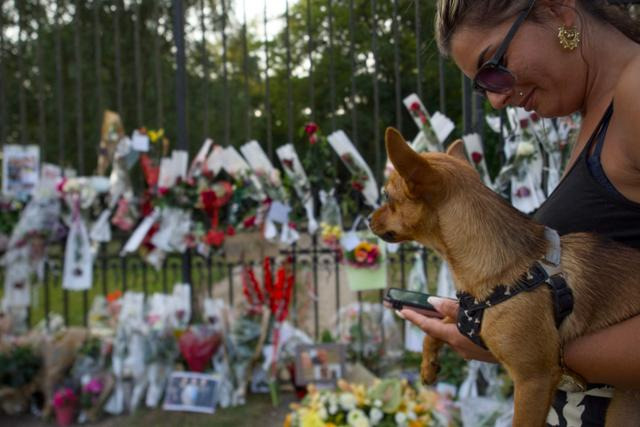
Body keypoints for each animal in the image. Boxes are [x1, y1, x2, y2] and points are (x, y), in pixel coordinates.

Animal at [370, 128, 640, 427]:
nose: (369, 218)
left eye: (387, 196)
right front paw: (428, 364)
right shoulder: (470, 314)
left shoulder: (534, 380)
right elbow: (439, 325)